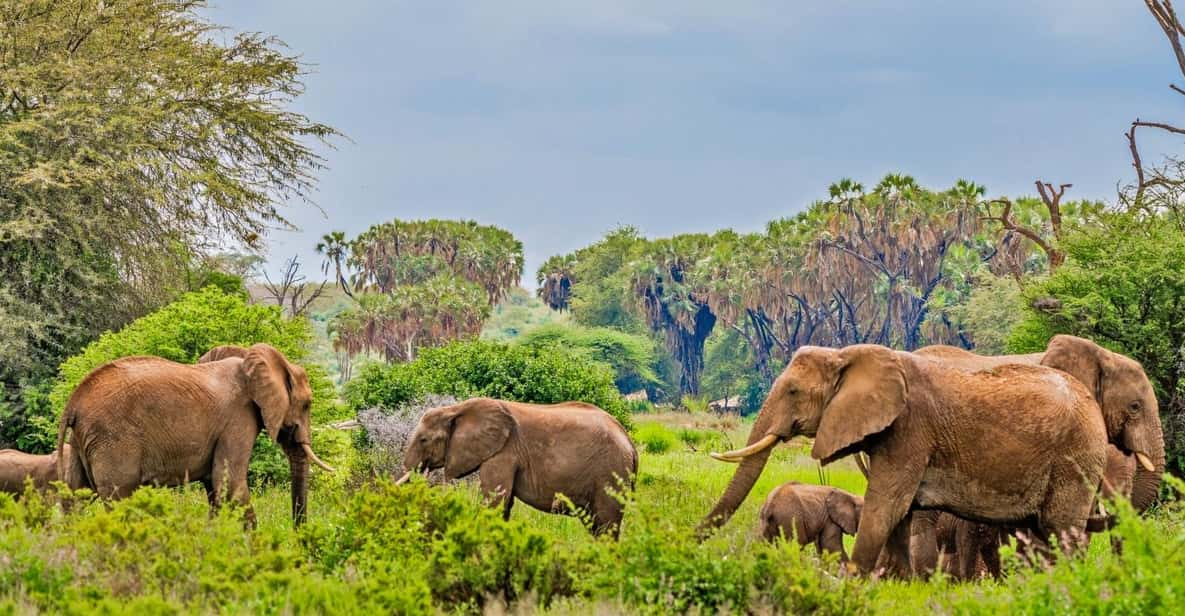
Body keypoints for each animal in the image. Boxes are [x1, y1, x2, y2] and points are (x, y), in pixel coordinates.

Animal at [55, 341, 334, 523]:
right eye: (307, 404)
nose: (298, 536)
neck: (250, 358)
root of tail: (73, 402)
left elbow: (215, 488)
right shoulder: (238, 419)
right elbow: (230, 485)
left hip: (82, 441)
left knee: (75, 498)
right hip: (112, 440)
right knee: (119, 499)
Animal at [395, 398, 639, 535]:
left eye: (424, 440)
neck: (456, 409)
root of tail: (630, 443)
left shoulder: (503, 452)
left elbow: (495, 501)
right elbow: (504, 504)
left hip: (610, 473)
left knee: (606, 525)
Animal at [696, 343, 1104, 575]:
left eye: (794, 391)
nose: (690, 541)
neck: (847, 355)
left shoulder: (910, 431)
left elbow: (886, 505)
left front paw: (853, 583)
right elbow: (900, 515)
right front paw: (899, 585)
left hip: (1075, 459)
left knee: (1062, 531)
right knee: (1039, 534)